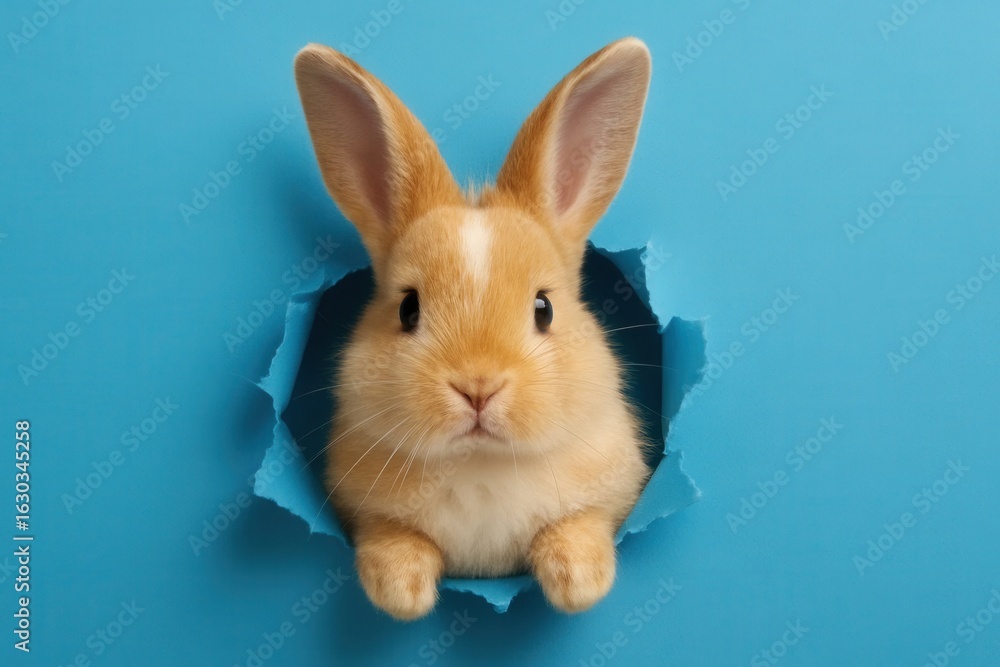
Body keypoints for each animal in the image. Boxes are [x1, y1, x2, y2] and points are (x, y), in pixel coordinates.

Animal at [294, 36, 653, 621]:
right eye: (408, 309)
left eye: (543, 308)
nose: (478, 387)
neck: (480, 462)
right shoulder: (367, 513)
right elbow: (392, 539)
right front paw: (401, 594)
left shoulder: (606, 495)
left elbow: (580, 526)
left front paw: (578, 584)